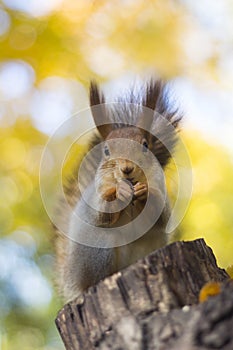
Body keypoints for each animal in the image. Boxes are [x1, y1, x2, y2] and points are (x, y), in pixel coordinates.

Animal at [53, 79, 181, 300]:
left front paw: (145, 192)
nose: (127, 168)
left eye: (145, 145)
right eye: (106, 150)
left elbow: (161, 215)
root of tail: (74, 280)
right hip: (99, 249)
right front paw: (120, 192)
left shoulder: (161, 190)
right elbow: (101, 213)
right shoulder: (95, 197)